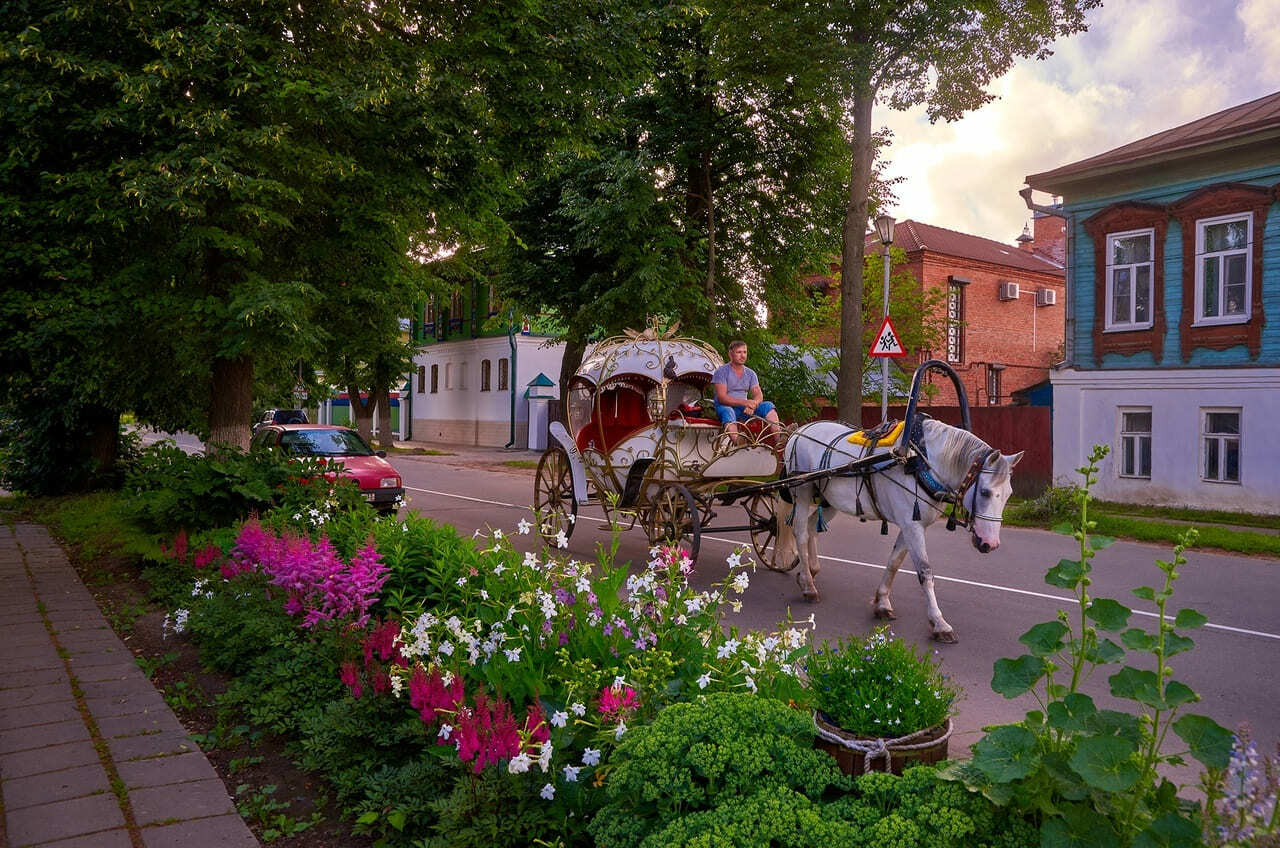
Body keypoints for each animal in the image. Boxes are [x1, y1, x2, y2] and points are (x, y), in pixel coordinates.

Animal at [773, 417, 1024, 645]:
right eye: (984, 492)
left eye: (1009, 494)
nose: (989, 544)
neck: (919, 462)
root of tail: (799, 430)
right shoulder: (912, 525)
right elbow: (925, 572)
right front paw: (939, 623)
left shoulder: (910, 524)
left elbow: (894, 562)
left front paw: (883, 603)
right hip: (802, 491)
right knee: (800, 532)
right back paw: (809, 586)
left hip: (830, 500)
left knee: (811, 527)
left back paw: (810, 571)